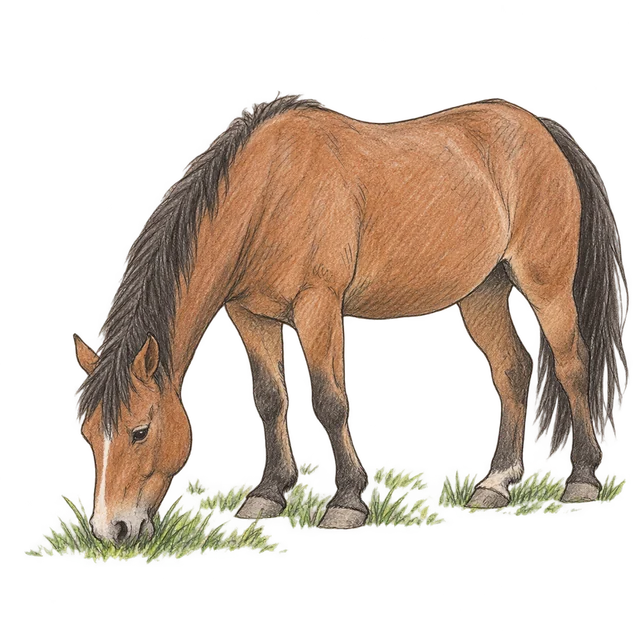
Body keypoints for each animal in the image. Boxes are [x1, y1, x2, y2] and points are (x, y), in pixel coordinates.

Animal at [73, 93, 629, 543]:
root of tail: (543, 131)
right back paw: (496, 484)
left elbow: (329, 400)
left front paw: (346, 504)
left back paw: (581, 480)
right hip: (482, 291)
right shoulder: (250, 315)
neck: (268, 190)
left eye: (140, 430)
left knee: (572, 367)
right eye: (88, 432)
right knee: (513, 371)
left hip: (546, 286)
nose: (110, 530)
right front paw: (267, 495)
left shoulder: (318, 306)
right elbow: (271, 398)